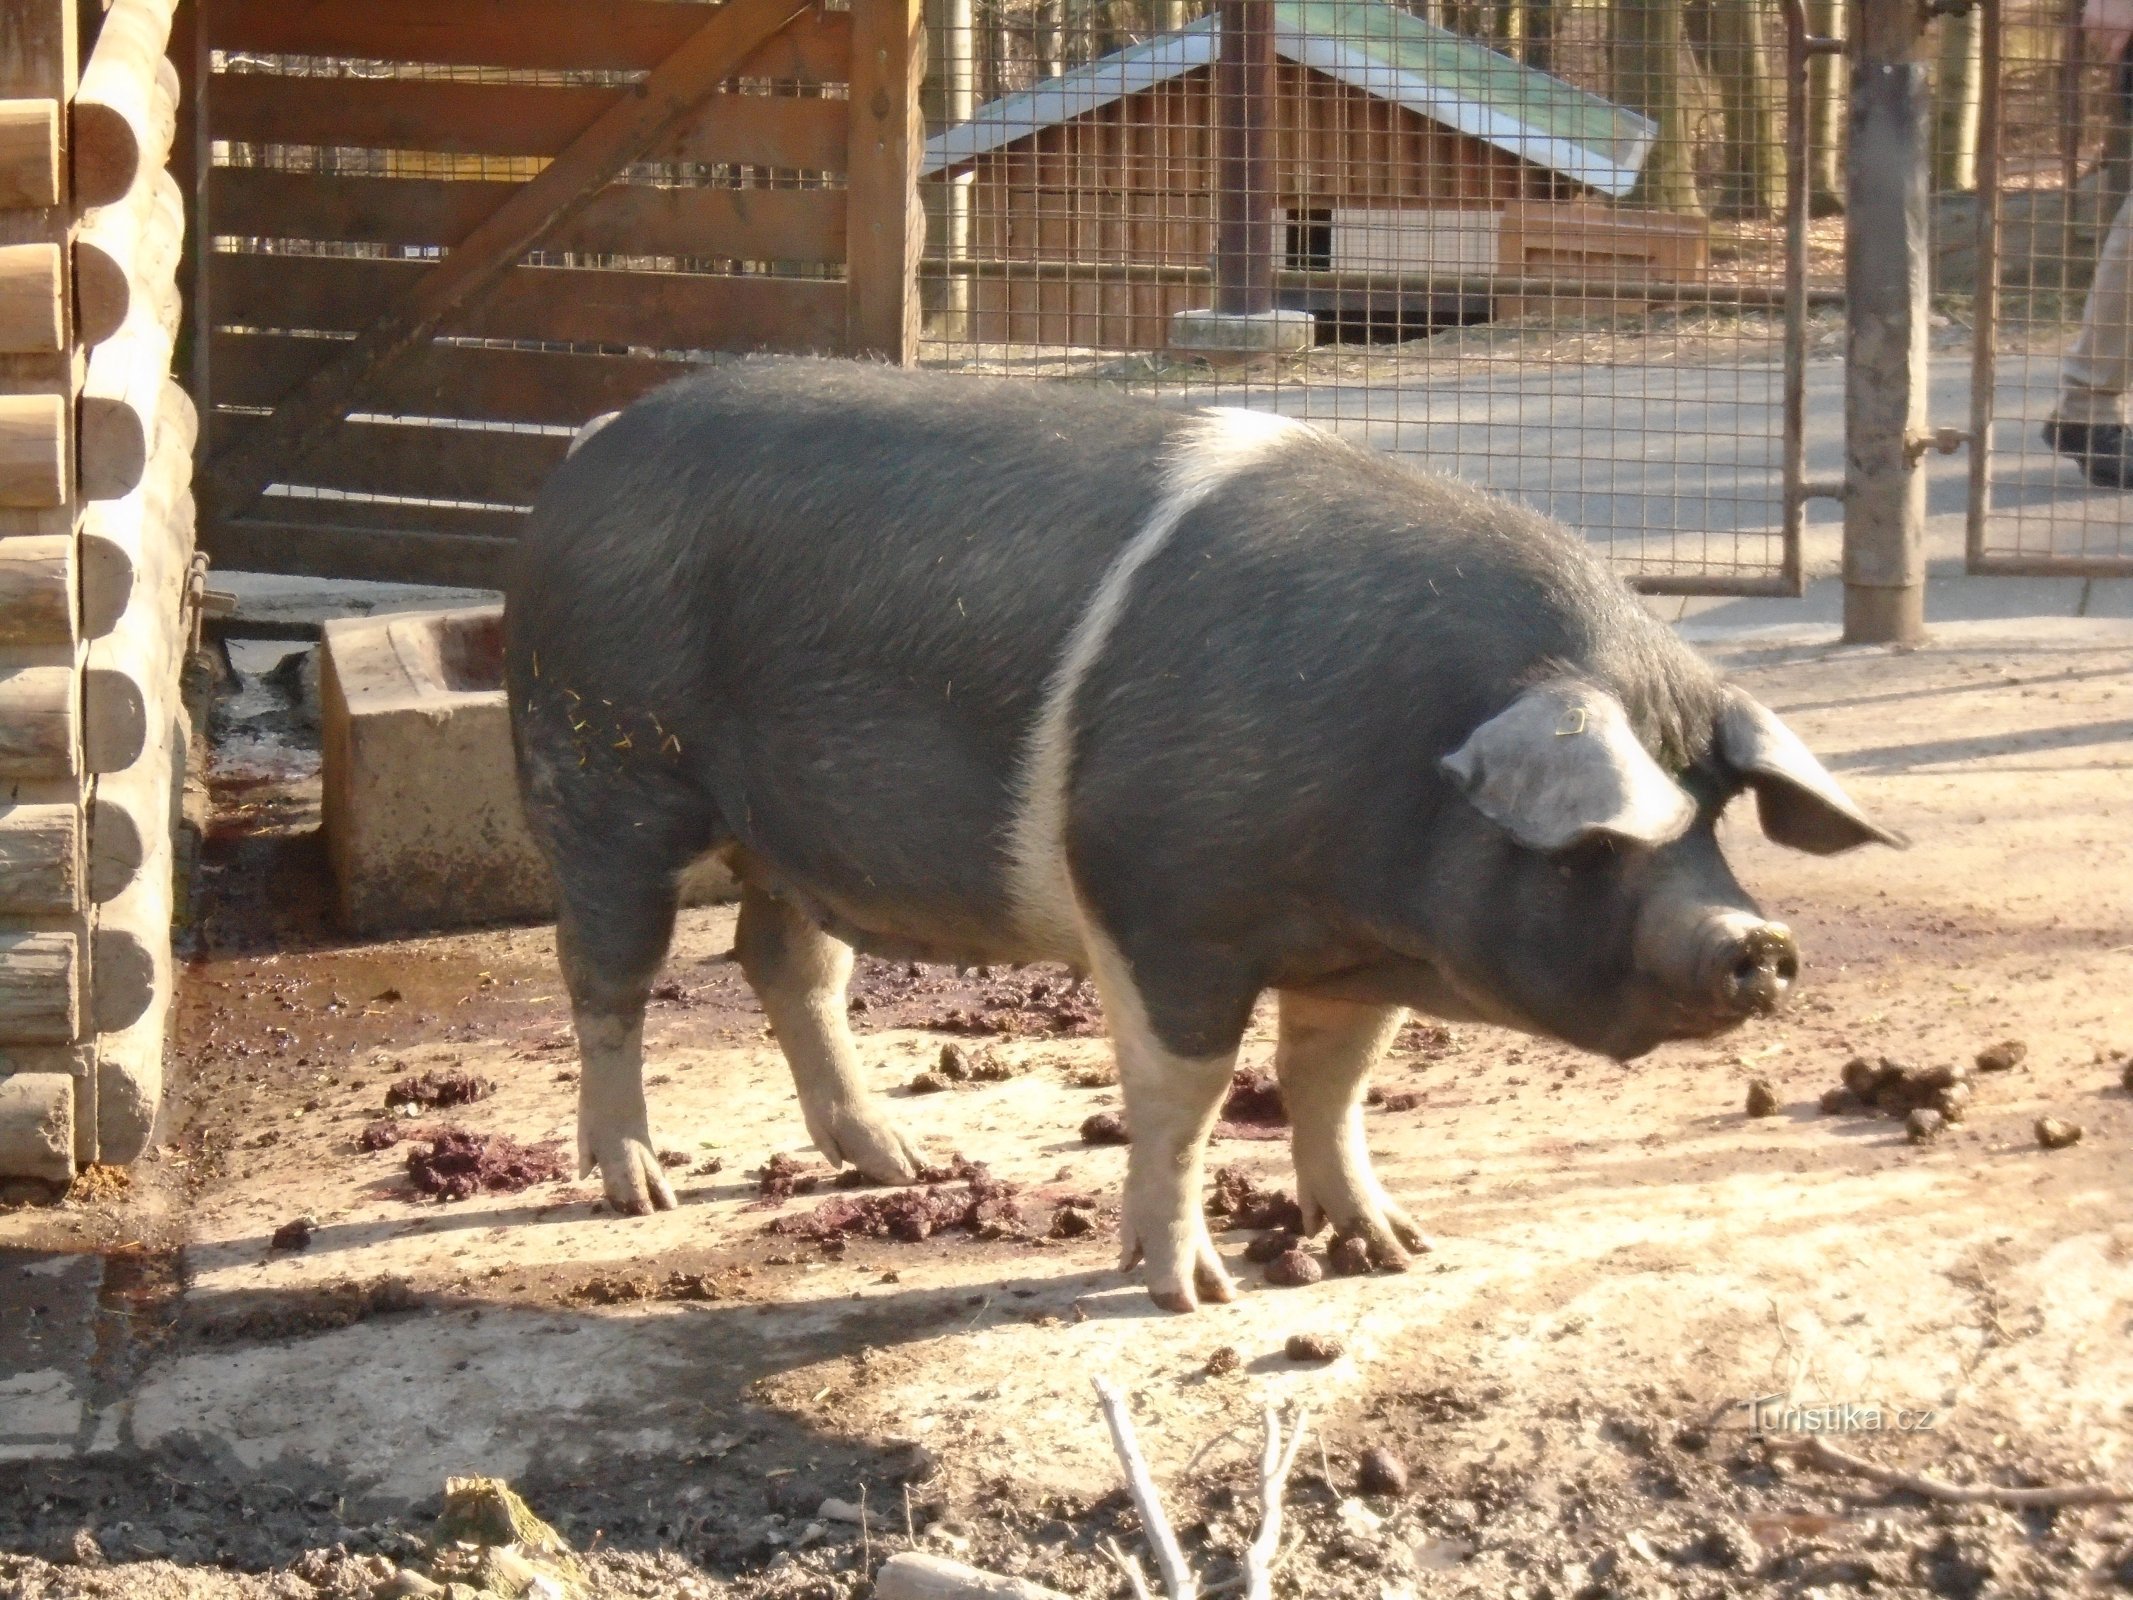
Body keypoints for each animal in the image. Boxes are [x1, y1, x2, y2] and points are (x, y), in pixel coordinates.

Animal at [503, 356, 1902, 1305]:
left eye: (1715, 817)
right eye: (1600, 842)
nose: (1756, 941)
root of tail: (588, 447)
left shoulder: (1350, 954)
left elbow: (1332, 1087)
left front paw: (1396, 1249)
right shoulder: (1161, 901)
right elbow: (1187, 1097)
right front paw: (1189, 1291)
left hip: (789, 837)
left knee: (786, 964)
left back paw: (893, 1163)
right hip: (602, 776)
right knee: (607, 976)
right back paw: (637, 1185)